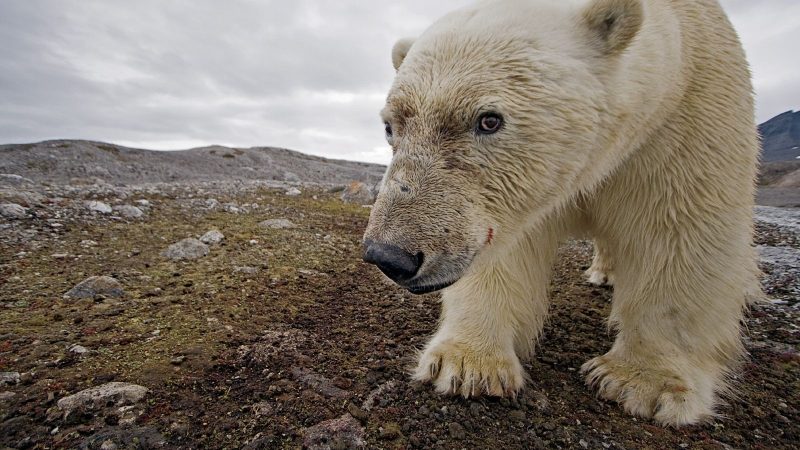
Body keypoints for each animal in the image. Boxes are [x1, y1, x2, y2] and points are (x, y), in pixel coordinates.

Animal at [362, 0, 760, 427]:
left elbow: (680, 232)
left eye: (489, 119)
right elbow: (507, 249)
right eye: (390, 126)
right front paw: (467, 364)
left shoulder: (686, 117)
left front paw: (643, 383)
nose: (390, 255)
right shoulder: (512, 201)